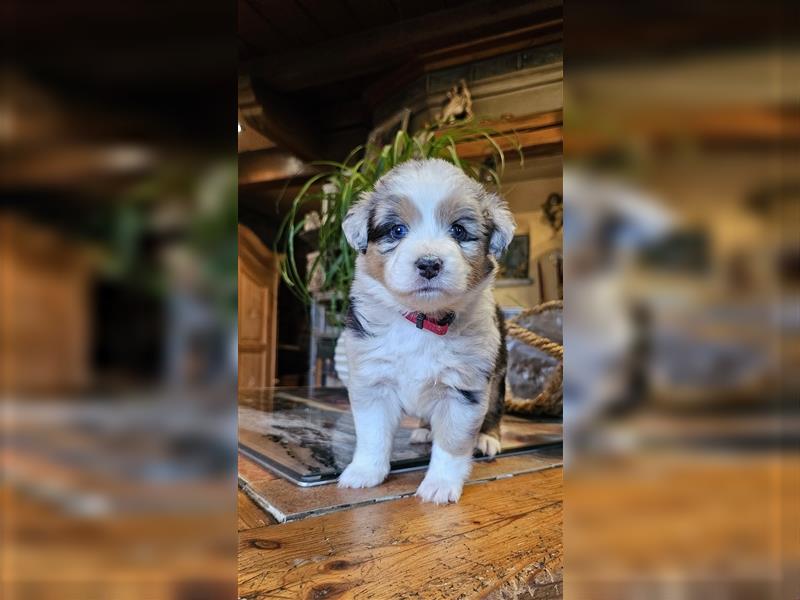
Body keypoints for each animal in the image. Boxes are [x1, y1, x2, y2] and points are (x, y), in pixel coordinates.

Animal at [336, 158, 512, 502]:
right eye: (397, 230)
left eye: (458, 230)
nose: (429, 263)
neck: (423, 319)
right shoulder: (372, 379)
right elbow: (372, 435)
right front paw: (364, 472)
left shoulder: (465, 387)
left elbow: (453, 443)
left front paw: (440, 485)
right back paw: (423, 430)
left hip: (497, 378)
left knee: (494, 411)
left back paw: (487, 439)